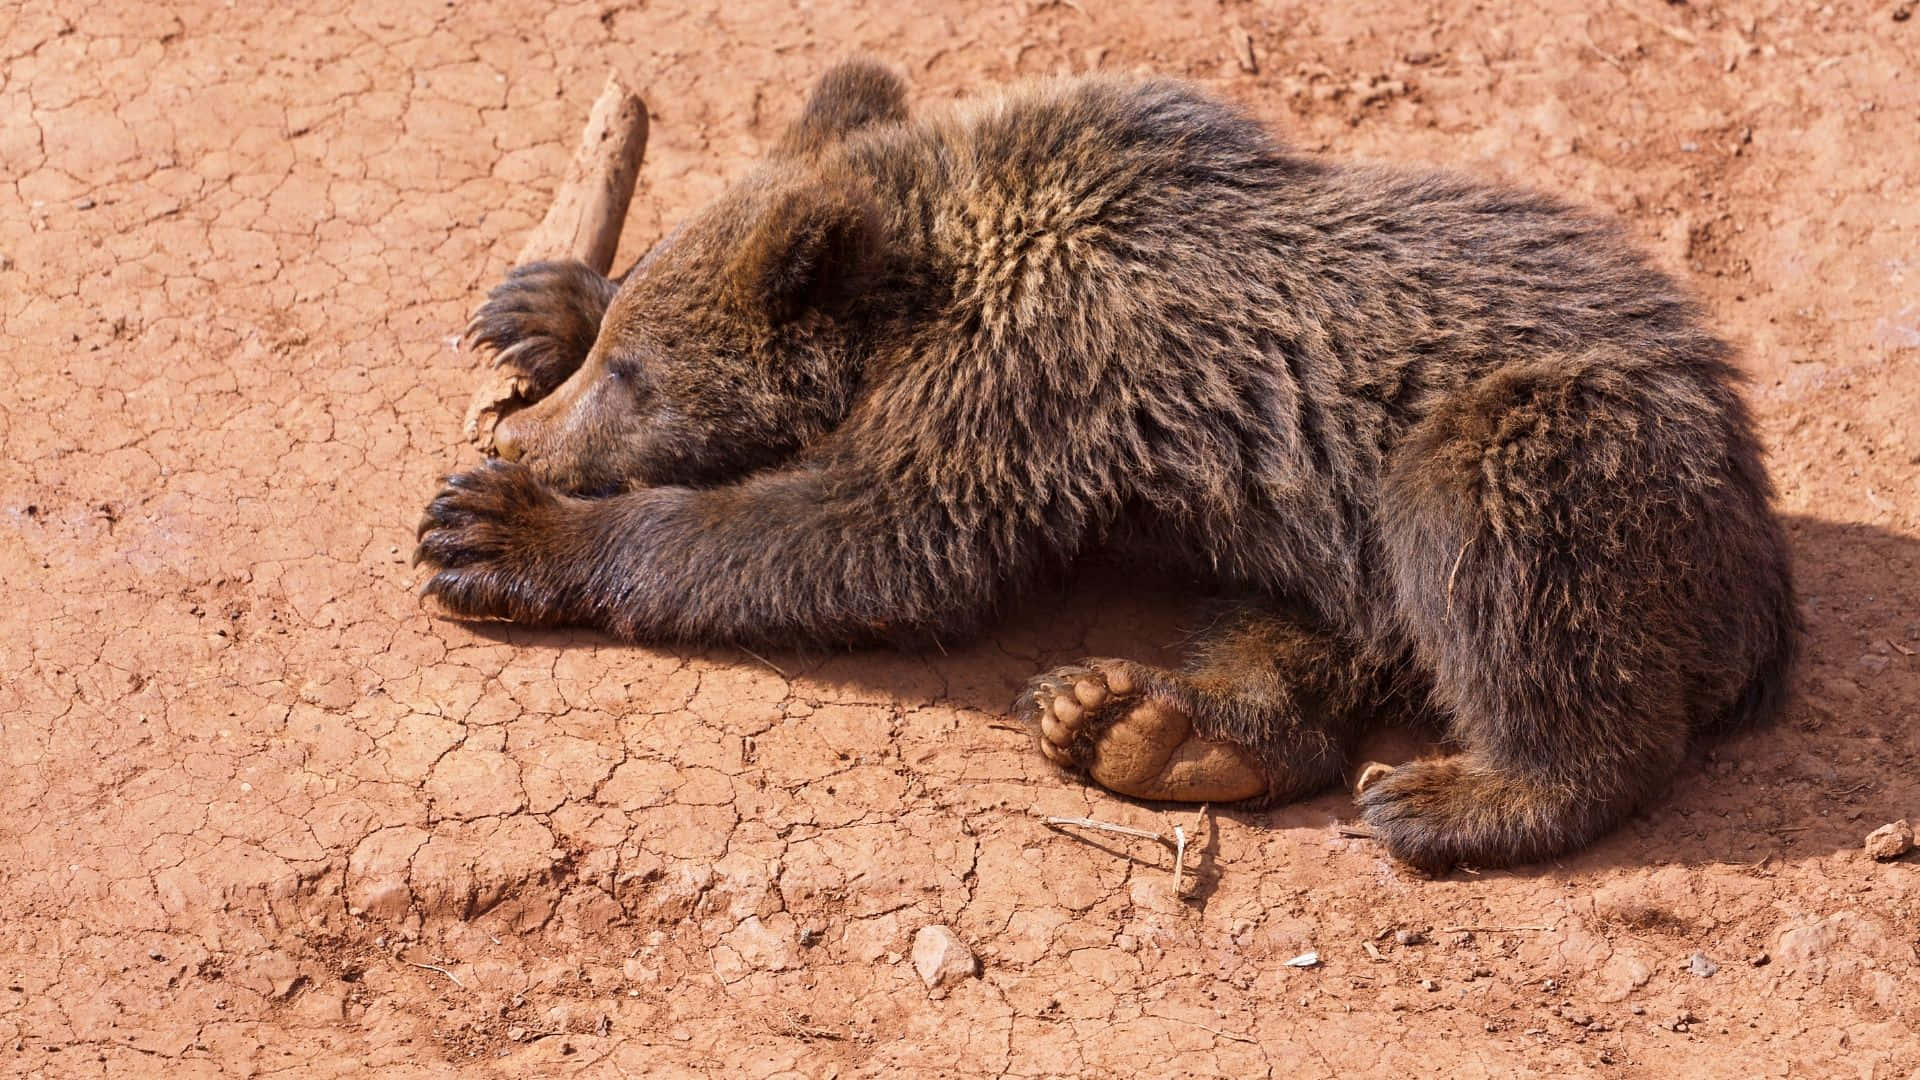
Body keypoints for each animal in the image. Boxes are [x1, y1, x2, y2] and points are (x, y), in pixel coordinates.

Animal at [417, 60, 1799, 872]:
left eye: (639, 379)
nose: (524, 439)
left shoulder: (1026, 381)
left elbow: (870, 535)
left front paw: (497, 528)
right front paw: (540, 301)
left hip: (1550, 446)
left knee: (1500, 558)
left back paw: (1459, 798)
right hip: (1322, 531)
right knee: (1309, 628)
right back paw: (1149, 725)